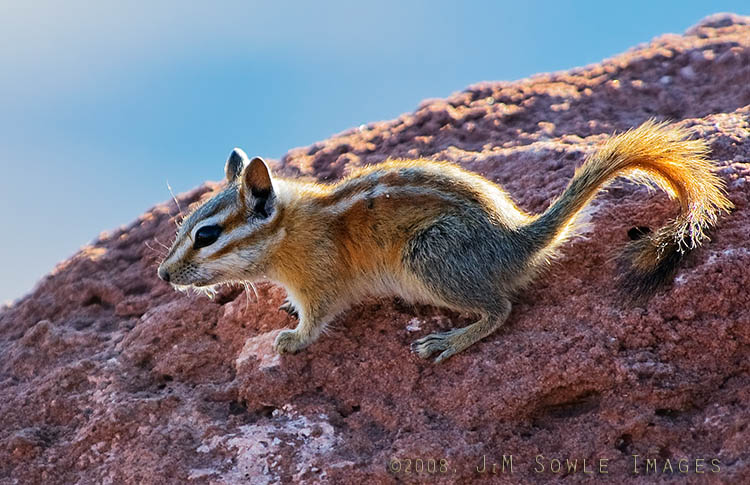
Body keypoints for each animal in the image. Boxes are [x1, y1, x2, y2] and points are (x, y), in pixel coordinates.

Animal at [157, 121, 732, 363]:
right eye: (183, 227)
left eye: (207, 235)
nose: (162, 274)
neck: (290, 231)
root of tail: (516, 239)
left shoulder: (321, 284)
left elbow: (316, 320)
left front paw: (292, 339)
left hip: (429, 259)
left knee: (500, 310)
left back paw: (447, 342)